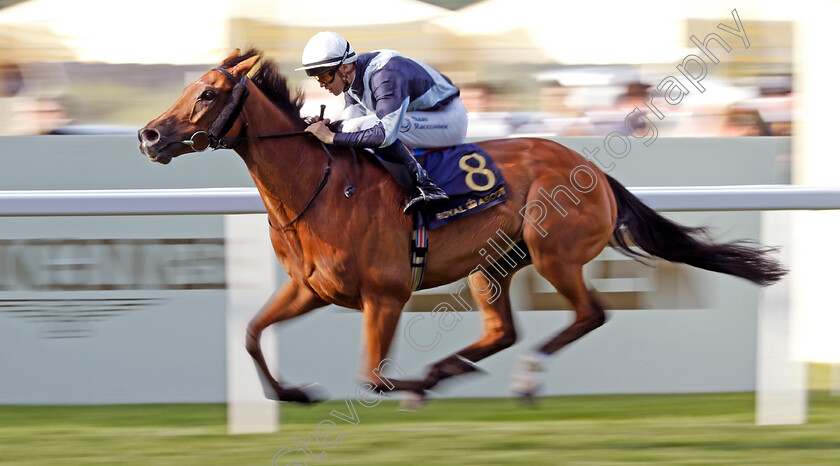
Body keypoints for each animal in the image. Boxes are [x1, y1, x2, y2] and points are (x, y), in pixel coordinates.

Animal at [138, 48, 788, 404]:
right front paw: (293, 393)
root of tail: (594, 171)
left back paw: (520, 378)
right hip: (489, 266)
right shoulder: (310, 289)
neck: (319, 189)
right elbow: (251, 334)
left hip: (554, 254)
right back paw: (449, 369)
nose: (148, 134)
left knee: (589, 314)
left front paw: (409, 390)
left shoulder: (386, 294)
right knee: (502, 330)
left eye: (208, 94)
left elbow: (373, 377)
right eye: (187, 87)